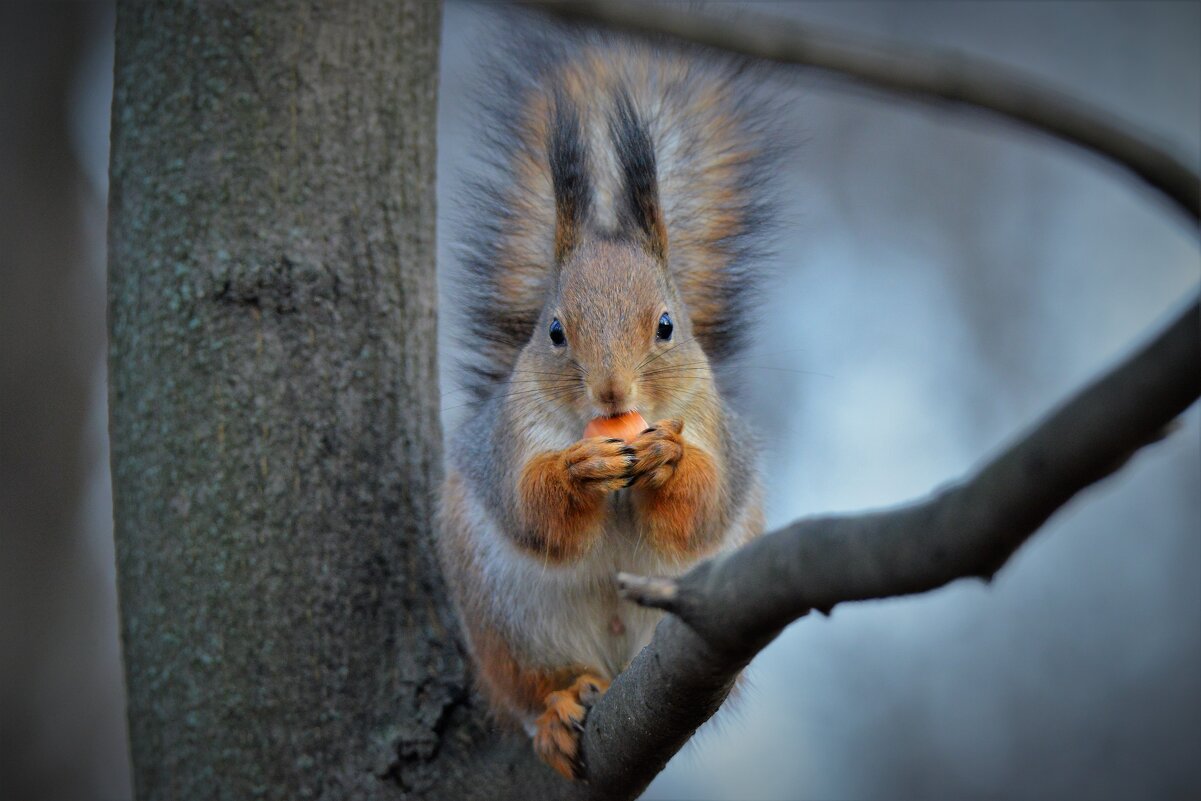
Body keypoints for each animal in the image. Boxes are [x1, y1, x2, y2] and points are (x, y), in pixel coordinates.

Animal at [441, 26, 778, 782]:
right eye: (554, 331)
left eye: (666, 325)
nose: (612, 391)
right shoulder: (509, 438)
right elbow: (530, 508)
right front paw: (578, 469)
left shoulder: (716, 431)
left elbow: (699, 507)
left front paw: (667, 456)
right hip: (506, 624)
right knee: (539, 682)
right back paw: (558, 710)